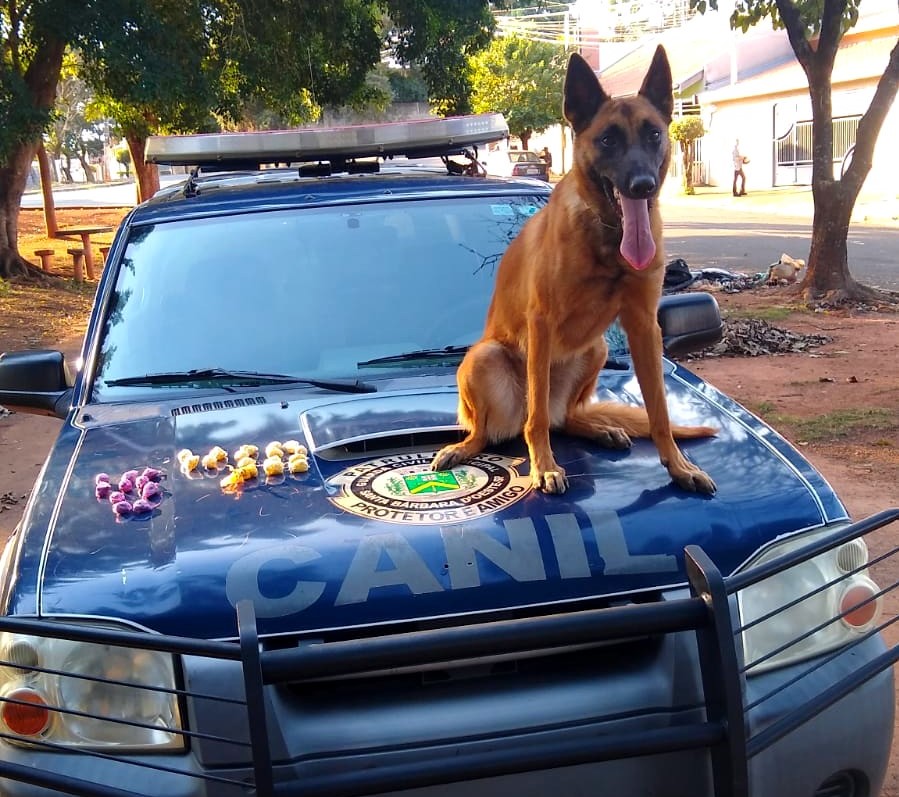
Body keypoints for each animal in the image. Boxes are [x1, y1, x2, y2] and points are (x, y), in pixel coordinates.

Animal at [432, 46, 720, 494]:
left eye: (654, 134)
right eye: (608, 140)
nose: (643, 185)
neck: (609, 238)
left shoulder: (643, 325)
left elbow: (658, 410)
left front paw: (677, 466)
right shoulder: (541, 322)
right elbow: (537, 420)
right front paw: (544, 466)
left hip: (595, 349)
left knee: (564, 418)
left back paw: (599, 428)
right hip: (484, 358)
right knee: (504, 426)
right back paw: (464, 447)